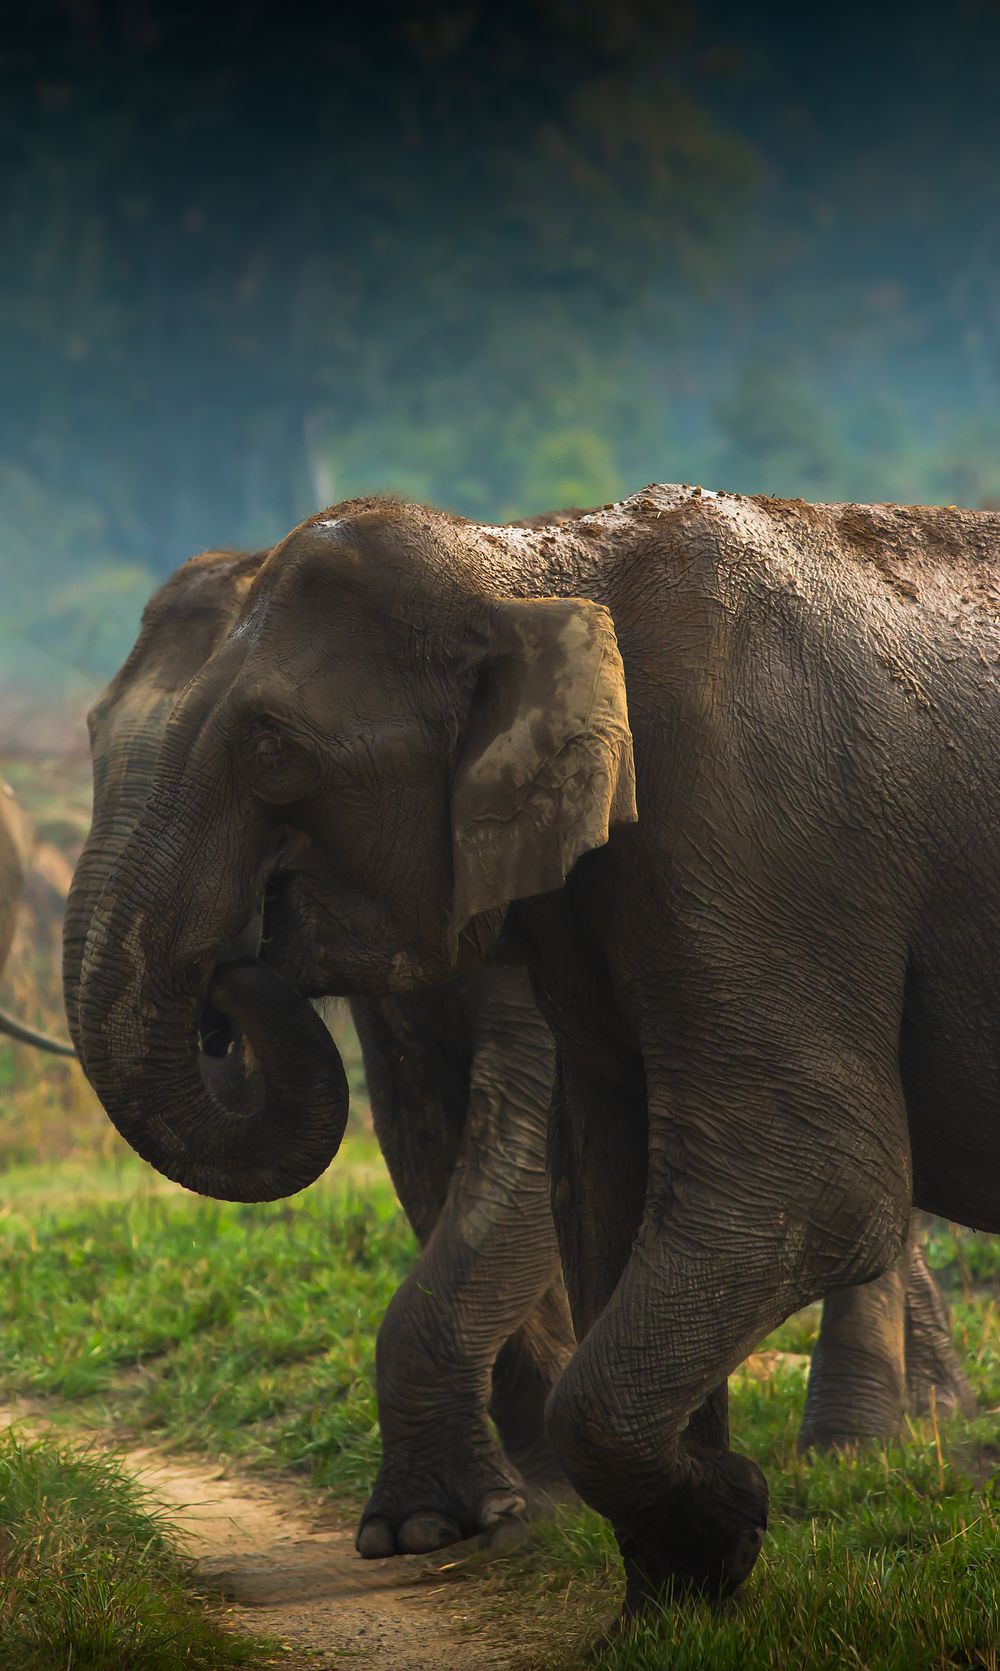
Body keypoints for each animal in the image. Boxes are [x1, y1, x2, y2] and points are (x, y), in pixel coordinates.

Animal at [66, 514, 977, 1585]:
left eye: (269, 747)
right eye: (91, 737)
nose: (228, 978)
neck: (524, 562)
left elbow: (520, 1156)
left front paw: (460, 1524)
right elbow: (430, 1143)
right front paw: (491, 1511)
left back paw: (857, 1453)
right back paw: (916, 1423)